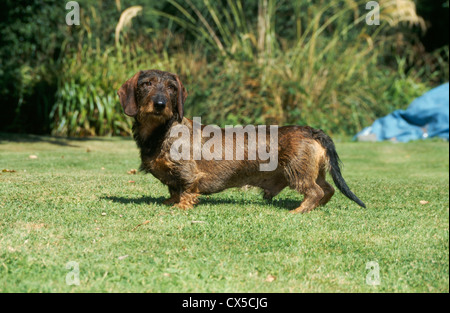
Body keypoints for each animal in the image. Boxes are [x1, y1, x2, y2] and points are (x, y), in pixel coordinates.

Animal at [118, 69, 364, 212]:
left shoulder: (188, 173)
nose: (160, 104)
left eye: (171, 87)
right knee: (328, 189)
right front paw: (170, 201)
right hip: (314, 171)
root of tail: (311, 130)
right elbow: (173, 188)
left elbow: (187, 189)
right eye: (146, 84)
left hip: (297, 172)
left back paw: (299, 210)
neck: (161, 132)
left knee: (316, 191)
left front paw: (181, 206)